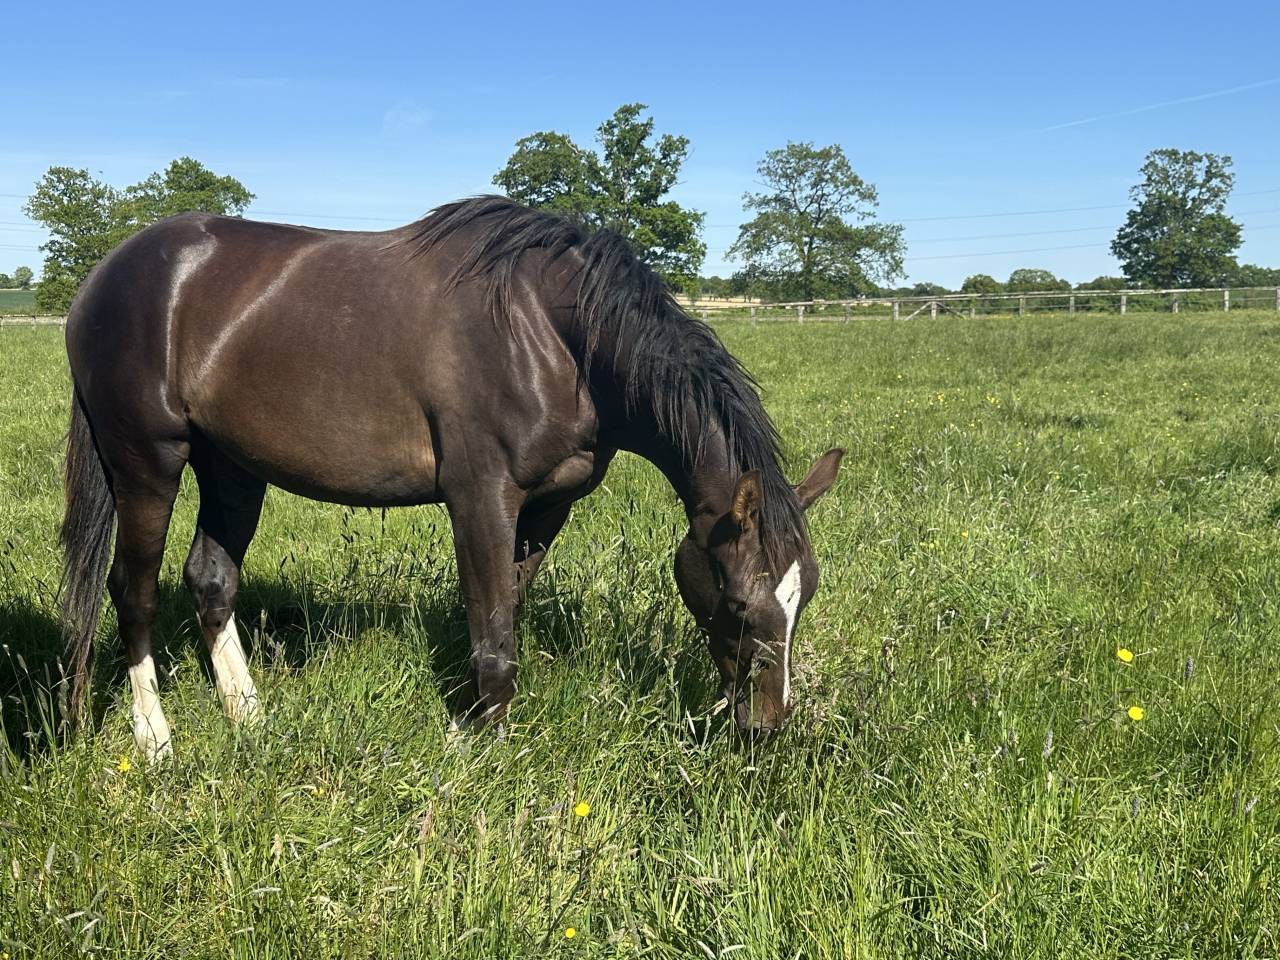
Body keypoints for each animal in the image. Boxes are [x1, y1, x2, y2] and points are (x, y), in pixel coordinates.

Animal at [59, 196, 842, 761]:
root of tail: (103, 278)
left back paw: (248, 718)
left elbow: (506, 613)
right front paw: (484, 756)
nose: (766, 725)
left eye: (802, 597)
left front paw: (472, 725)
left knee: (211, 580)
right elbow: (493, 637)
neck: (551, 333)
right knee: (131, 593)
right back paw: (154, 739)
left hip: (231, 467)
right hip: (147, 462)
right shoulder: (479, 497)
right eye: (739, 603)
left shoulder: (548, 506)